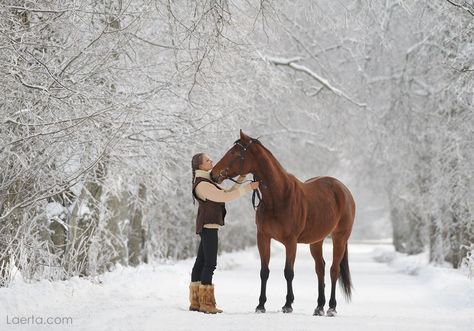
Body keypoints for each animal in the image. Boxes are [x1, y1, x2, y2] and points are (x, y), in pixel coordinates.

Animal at [211, 130, 356, 316]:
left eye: (235, 153)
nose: (214, 174)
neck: (278, 197)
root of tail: (343, 189)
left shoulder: (290, 241)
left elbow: (288, 272)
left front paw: (288, 304)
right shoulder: (263, 238)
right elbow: (264, 271)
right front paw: (261, 305)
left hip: (340, 238)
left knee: (333, 270)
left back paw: (331, 307)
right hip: (316, 241)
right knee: (320, 269)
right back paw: (319, 307)